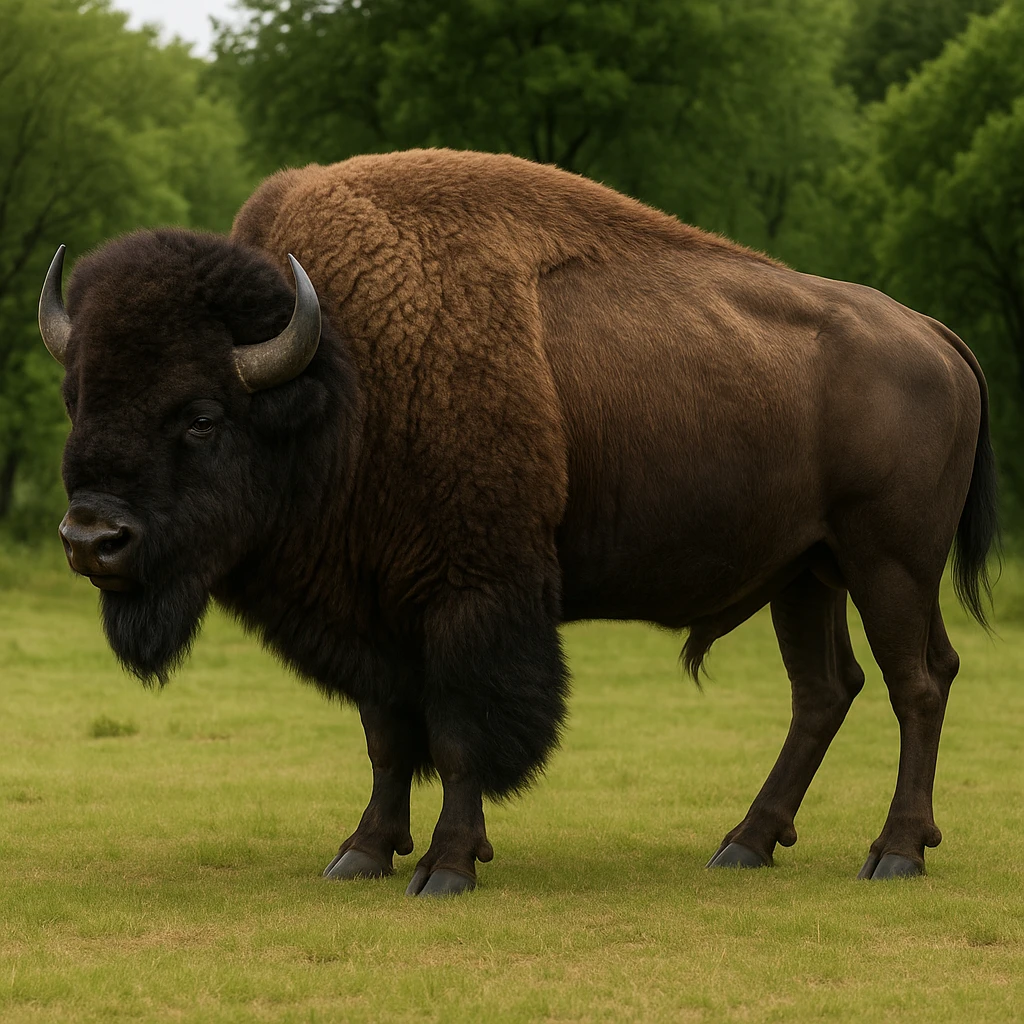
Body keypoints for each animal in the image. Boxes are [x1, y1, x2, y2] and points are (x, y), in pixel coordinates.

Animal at [39, 150, 996, 896]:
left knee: (917, 683)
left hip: (889, 564)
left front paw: (448, 866)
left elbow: (462, 733)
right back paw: (745, 845)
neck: (341, 379)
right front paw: (363, 854)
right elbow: (388, 737)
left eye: (201, 417)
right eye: (77, 395)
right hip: (806, 574)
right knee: (825, 691)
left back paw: (894, 854)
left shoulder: (472, 599)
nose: (91, 540)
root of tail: (931, 333)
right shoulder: (374, 611)